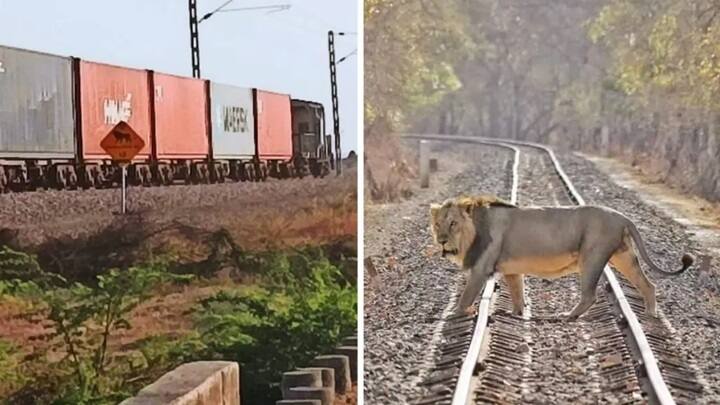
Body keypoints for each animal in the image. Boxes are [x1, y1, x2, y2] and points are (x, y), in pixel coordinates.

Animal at [430, 195, 696, 318]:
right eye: (437, 224)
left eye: (453, 224)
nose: (442, 240)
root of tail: (622, 216)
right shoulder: (512, 270)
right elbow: (517, 293)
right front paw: (517, 314)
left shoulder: (480, 268)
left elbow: (466, 295)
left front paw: (453, 314)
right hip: (623, 256)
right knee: (648, 284)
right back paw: (651, 314)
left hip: (592, 257)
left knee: (590, 295)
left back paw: (569, 315)